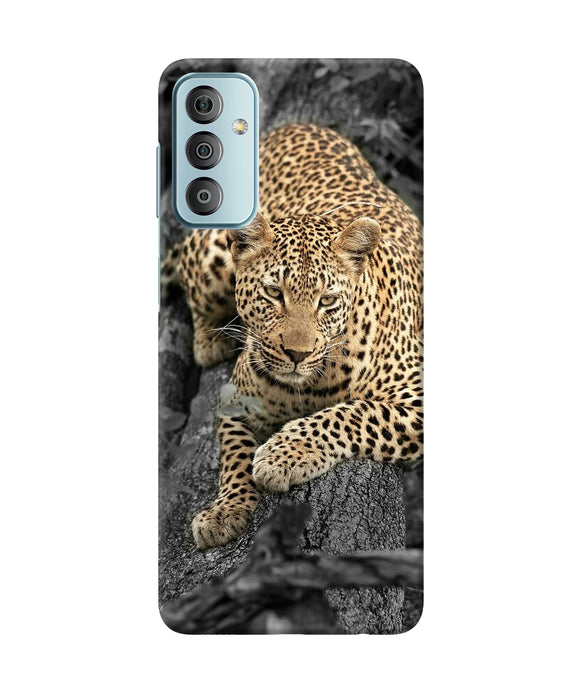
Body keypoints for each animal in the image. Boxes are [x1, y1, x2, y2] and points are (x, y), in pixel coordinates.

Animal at [163, 123, 423, 550]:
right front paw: (225, 511)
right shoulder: (235, 400)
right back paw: (211, 340)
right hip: (213, 254)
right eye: (273, 293)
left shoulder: (416, 399)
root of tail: (293, 126)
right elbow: (234, 455)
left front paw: (282, 455)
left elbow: (352, 413)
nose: (297, 354)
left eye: (327, 300)